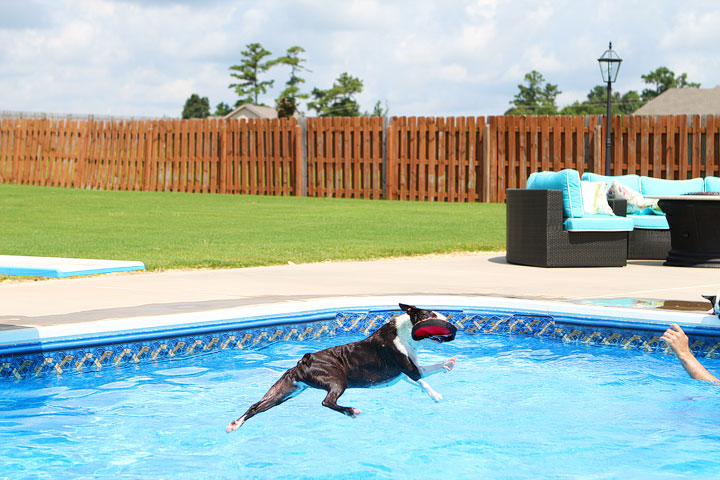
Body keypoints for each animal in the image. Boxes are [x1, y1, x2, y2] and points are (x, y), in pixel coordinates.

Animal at [228, 302, 458, 434]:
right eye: (433, 316)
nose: (448, 321)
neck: (405, 331)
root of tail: (304, 361)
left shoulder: (405, 373)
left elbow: (426, 375)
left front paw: (447, 365)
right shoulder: (409, 369)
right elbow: (423, 379)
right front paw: (436, 394)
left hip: (286, 390)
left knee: (257, 406)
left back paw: (235, 424)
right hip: (337, 379)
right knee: (327, 401)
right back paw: (351, 410)